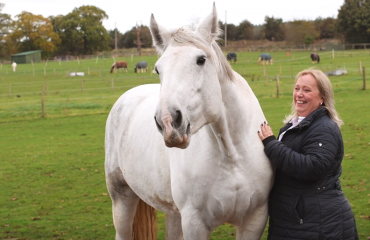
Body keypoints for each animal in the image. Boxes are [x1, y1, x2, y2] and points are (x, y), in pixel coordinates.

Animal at [105, 2, 274, 239]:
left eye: (201, 60)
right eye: (158, 68)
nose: (168, 122)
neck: (232, 157)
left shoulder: (254, 220)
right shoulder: (195, 224)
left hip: (173, 213)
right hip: (122, 197)